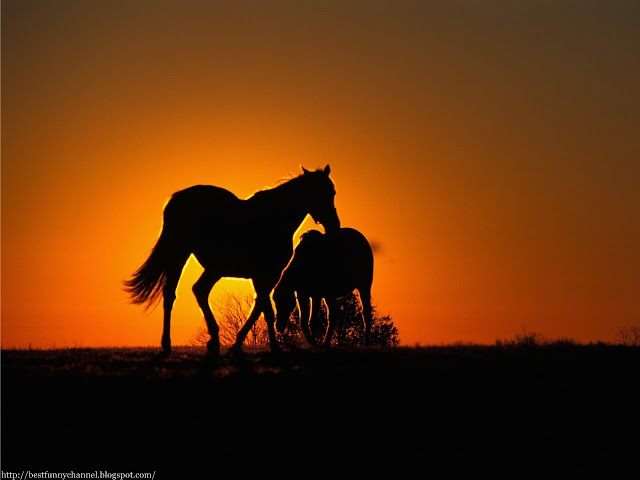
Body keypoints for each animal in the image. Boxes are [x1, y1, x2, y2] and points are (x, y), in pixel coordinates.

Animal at [124, 166, 340, 356]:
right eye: (323, 193)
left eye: (333, 192)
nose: (334, 225)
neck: (275, 219)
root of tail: (176, 199)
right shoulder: (267, 274)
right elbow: (266, 310)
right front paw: (271, 346)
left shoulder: (262, 277)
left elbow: (260, 307)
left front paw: (239, 343)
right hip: (181, 255)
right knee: (173, 294)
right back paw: (170, 344)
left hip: (213, 268)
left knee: (197, 290)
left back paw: (212, 340)